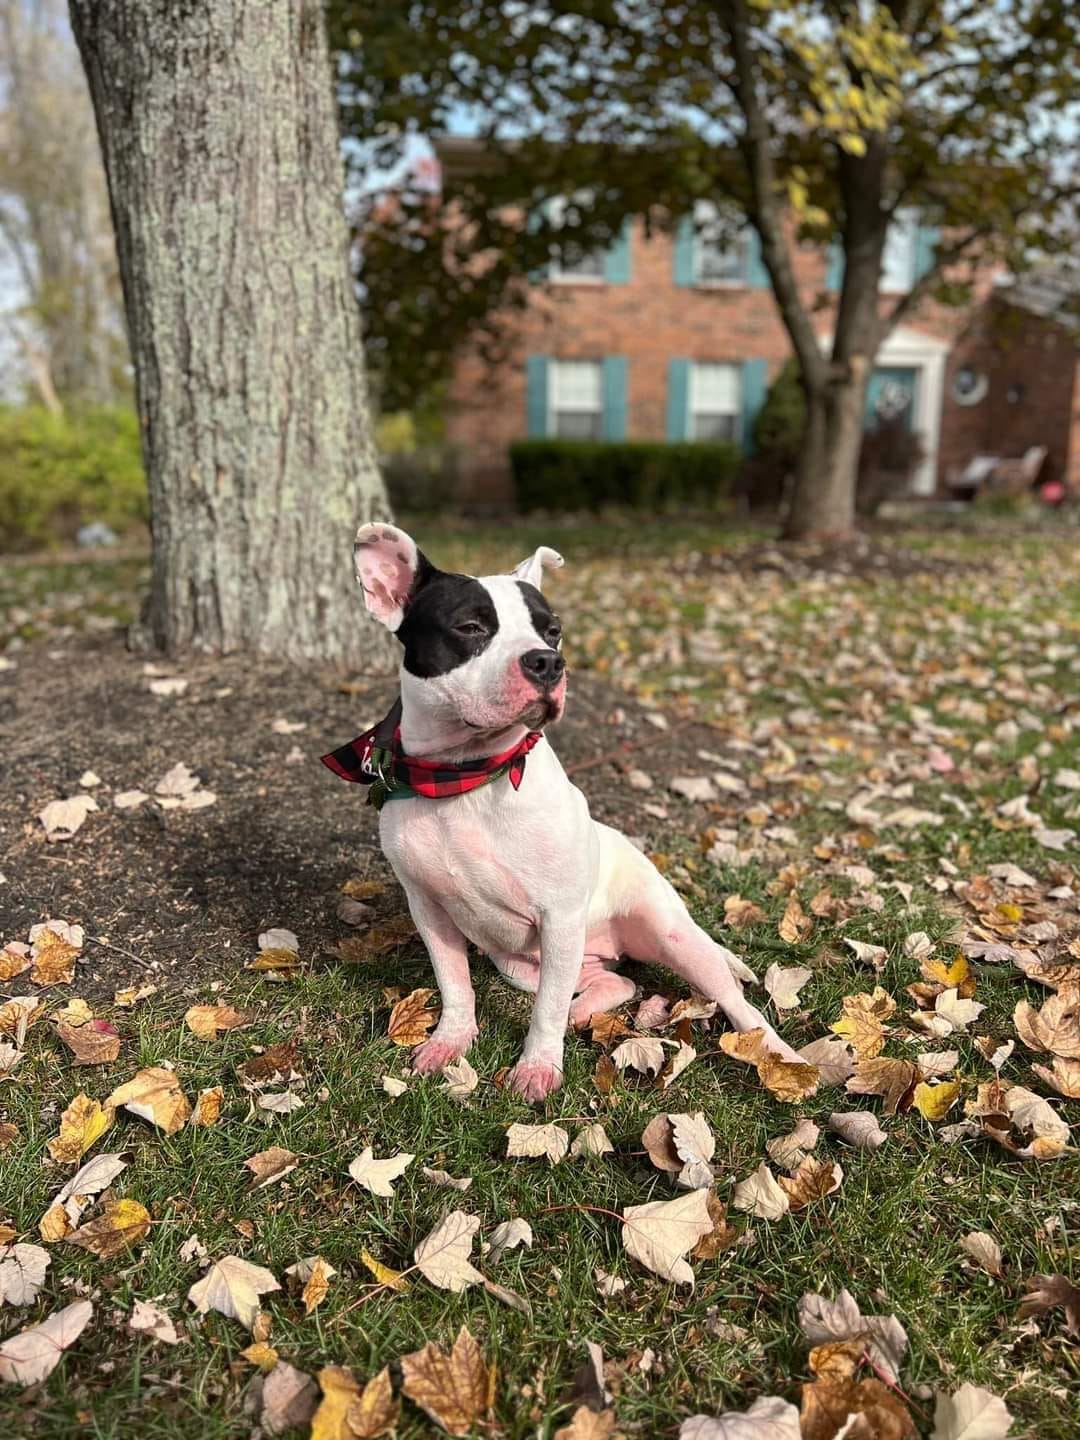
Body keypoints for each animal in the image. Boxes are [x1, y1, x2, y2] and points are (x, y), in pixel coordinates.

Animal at [338, 524, 806, 1094]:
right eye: (470, 627)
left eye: (553, 632)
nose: (547, 662)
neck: (466, 775)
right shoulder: (430, 910)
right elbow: (455, 985)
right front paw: (450, 1042)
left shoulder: (558, 916)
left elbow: (545, 1012)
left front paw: (537, 1067)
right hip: (529, 962)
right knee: (613, 982)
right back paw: (586, 1009)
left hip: (668, 937)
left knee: (735, 1003)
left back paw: (783, 1058)